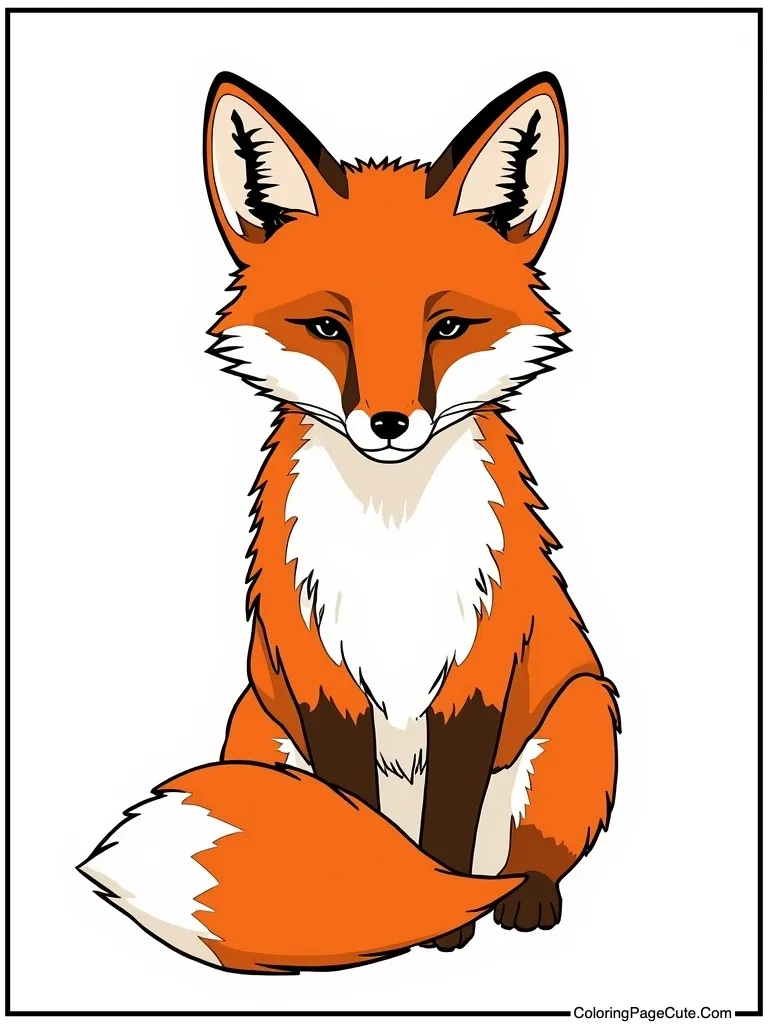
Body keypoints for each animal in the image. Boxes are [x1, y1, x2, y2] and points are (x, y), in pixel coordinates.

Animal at [78, 70, 620, 975]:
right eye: (329, 328)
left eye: (448, 326)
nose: (391, 424)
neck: (390, 547)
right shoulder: (321, 676)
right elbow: (350, 811)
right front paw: (382, 911)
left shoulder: (476, 673)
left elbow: (448, 828)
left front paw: (441, 928)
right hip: (256, 725)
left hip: (581, 717)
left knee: (521, 858)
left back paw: (521, 898)